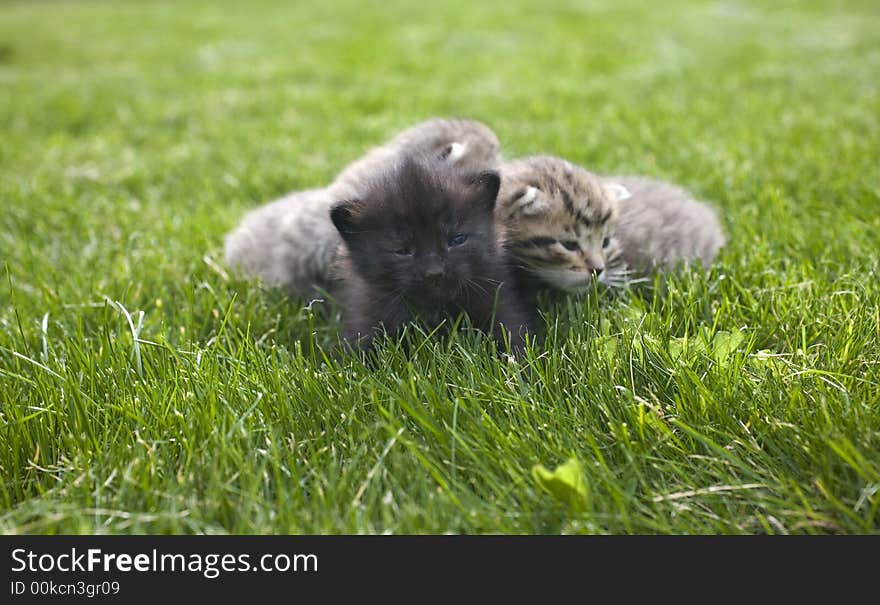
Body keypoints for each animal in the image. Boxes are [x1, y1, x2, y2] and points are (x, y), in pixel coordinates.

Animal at [332, 155, 532, 354]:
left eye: (457, 239)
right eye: (402, 250)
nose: (434, 273)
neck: (436, 311)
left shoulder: (500, 301)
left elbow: (512, 337)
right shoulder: (366, 315)